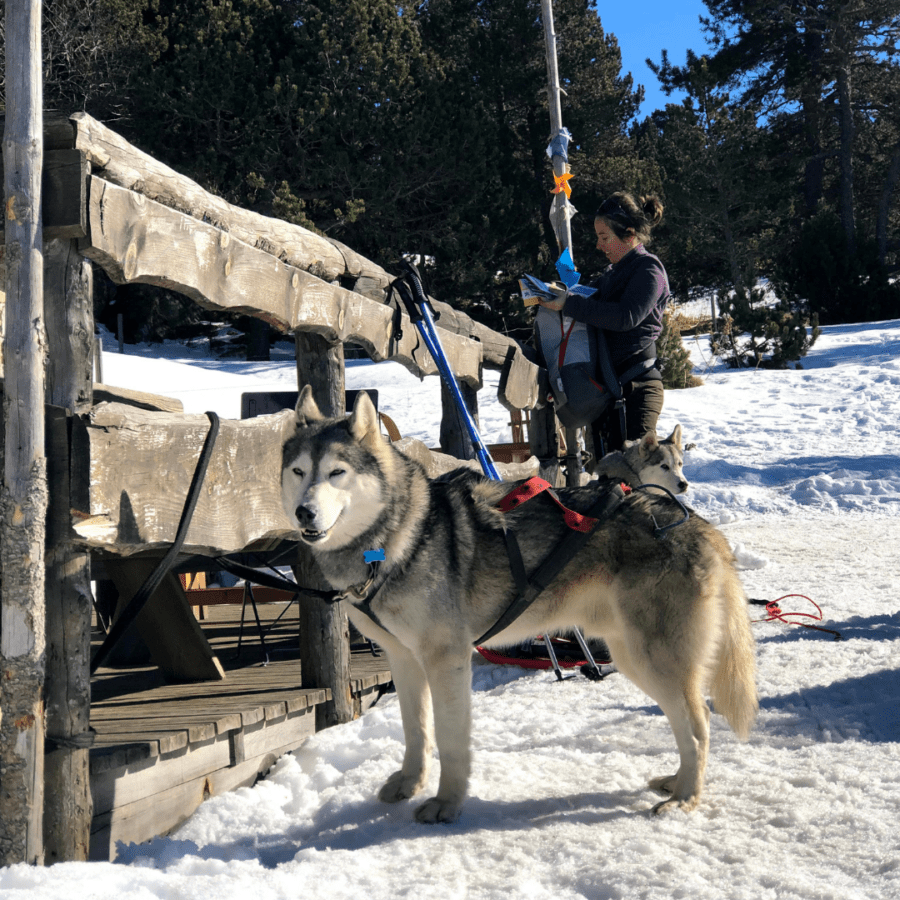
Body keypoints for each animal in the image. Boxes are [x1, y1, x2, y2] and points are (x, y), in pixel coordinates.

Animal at [280, 386, 752, 824]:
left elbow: (450, 741)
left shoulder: (446, 661)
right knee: (686, 724)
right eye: (298, 471)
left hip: (655, 659)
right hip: (634, 657)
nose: (304, 512)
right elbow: (416, 732)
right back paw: (676, 781)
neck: (395, 539)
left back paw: (685, 799)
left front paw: (447, 803)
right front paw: (410, 783)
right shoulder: (404, 660)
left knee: (699, 726)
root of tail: (700, 525)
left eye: (337, 472)